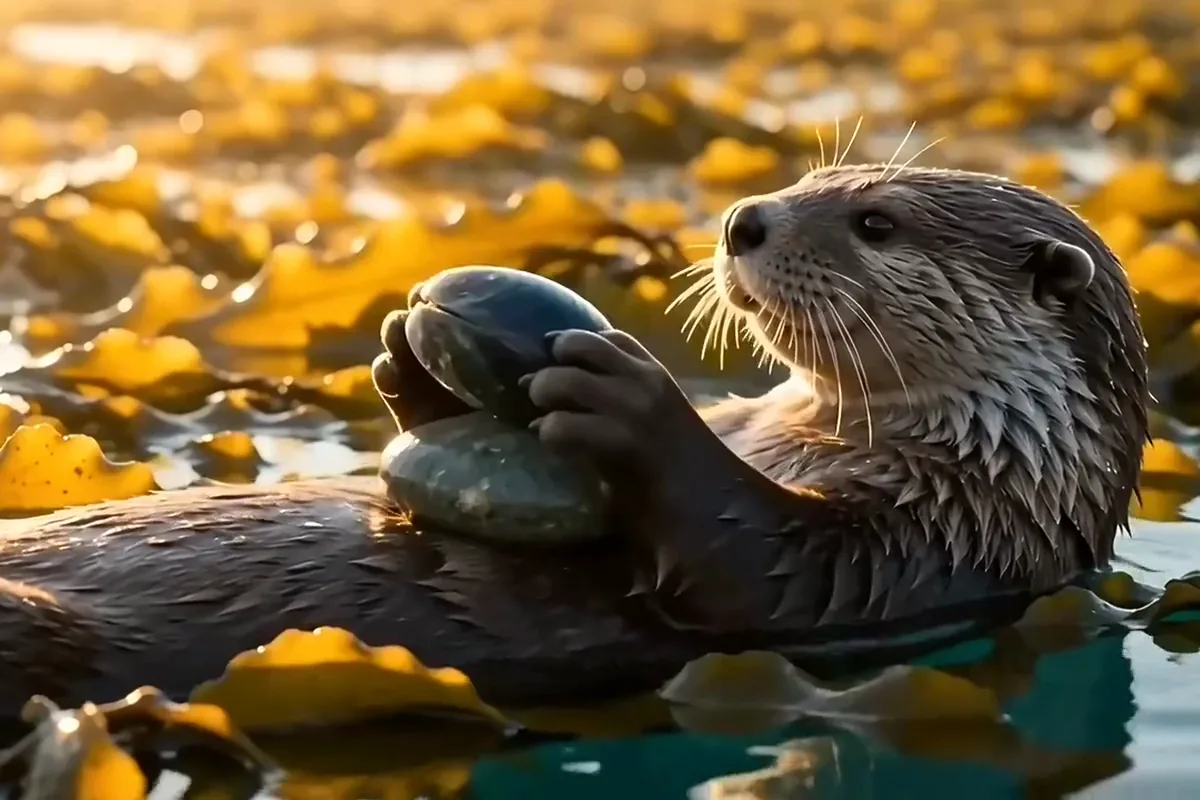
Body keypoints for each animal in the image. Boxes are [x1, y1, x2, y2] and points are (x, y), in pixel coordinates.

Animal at [0, 165, 1148, 717]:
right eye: (823, 174)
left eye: (876, 221)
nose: (744, 218)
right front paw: (410, 365)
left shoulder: (922, 557)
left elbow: (755, 567)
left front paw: (632, 399)